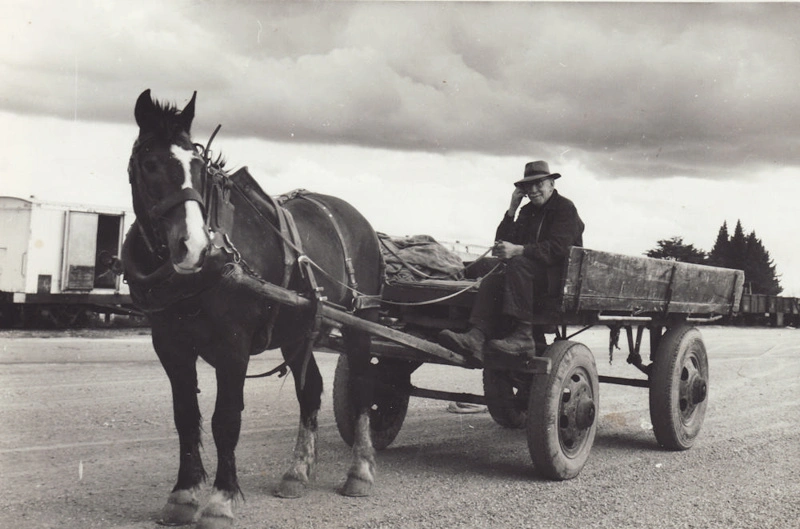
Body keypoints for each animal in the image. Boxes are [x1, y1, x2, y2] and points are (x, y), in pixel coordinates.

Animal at [124, 88, 384, 524]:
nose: (193, 247)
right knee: (310, 390)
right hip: (298, 330)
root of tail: (359, 219)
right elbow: (186, 416)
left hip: (361, 320)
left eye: (198, 165)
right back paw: (297, 473)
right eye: (149, 163)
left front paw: (220, 500)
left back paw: (361, 470)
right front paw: (183, 494)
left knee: (364, 385)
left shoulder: (234, 344)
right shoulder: (170, 344)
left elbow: (225, 419)